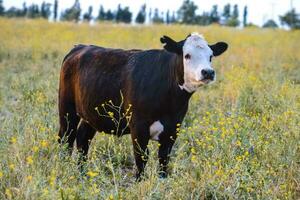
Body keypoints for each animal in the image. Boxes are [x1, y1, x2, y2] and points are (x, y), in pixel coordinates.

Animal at [58, 32, 227, 180]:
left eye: (210, 56)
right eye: (187, 55)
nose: (208, 72)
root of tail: (79, 47)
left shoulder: (173, 128)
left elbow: (164, 158)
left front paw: (162, 181)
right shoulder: (138, 127)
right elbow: (141, 157)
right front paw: (140, 181)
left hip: (91, 115)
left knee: (82, 138)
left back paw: (82, 172)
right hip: (67, 109)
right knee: (66, 137)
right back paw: (64, 169)